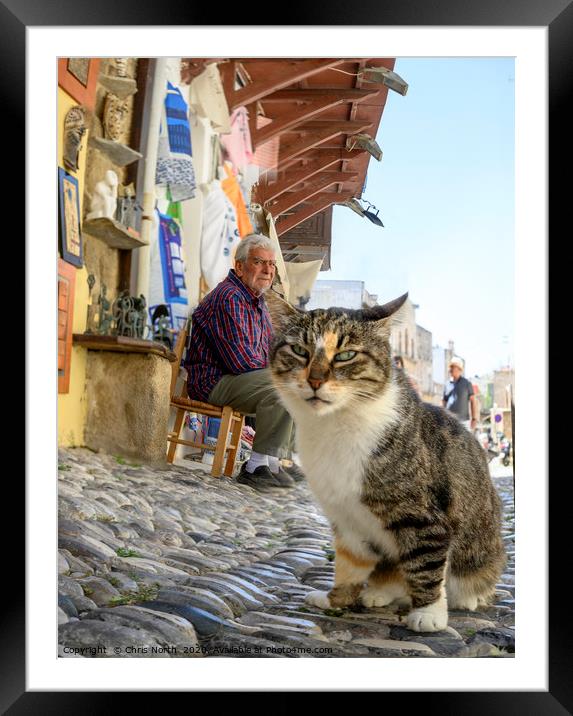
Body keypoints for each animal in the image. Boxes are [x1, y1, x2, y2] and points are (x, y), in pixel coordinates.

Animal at [266, 290, 502, 632]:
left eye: (346, 355)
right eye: (299, 350)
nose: (315, 380)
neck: (336, 424)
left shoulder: (421, 516)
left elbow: (425, 562)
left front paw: (429, 613)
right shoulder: (345, 518)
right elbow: (349, 563)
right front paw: (335, 599)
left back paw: (467, 596)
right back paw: (381, 591)